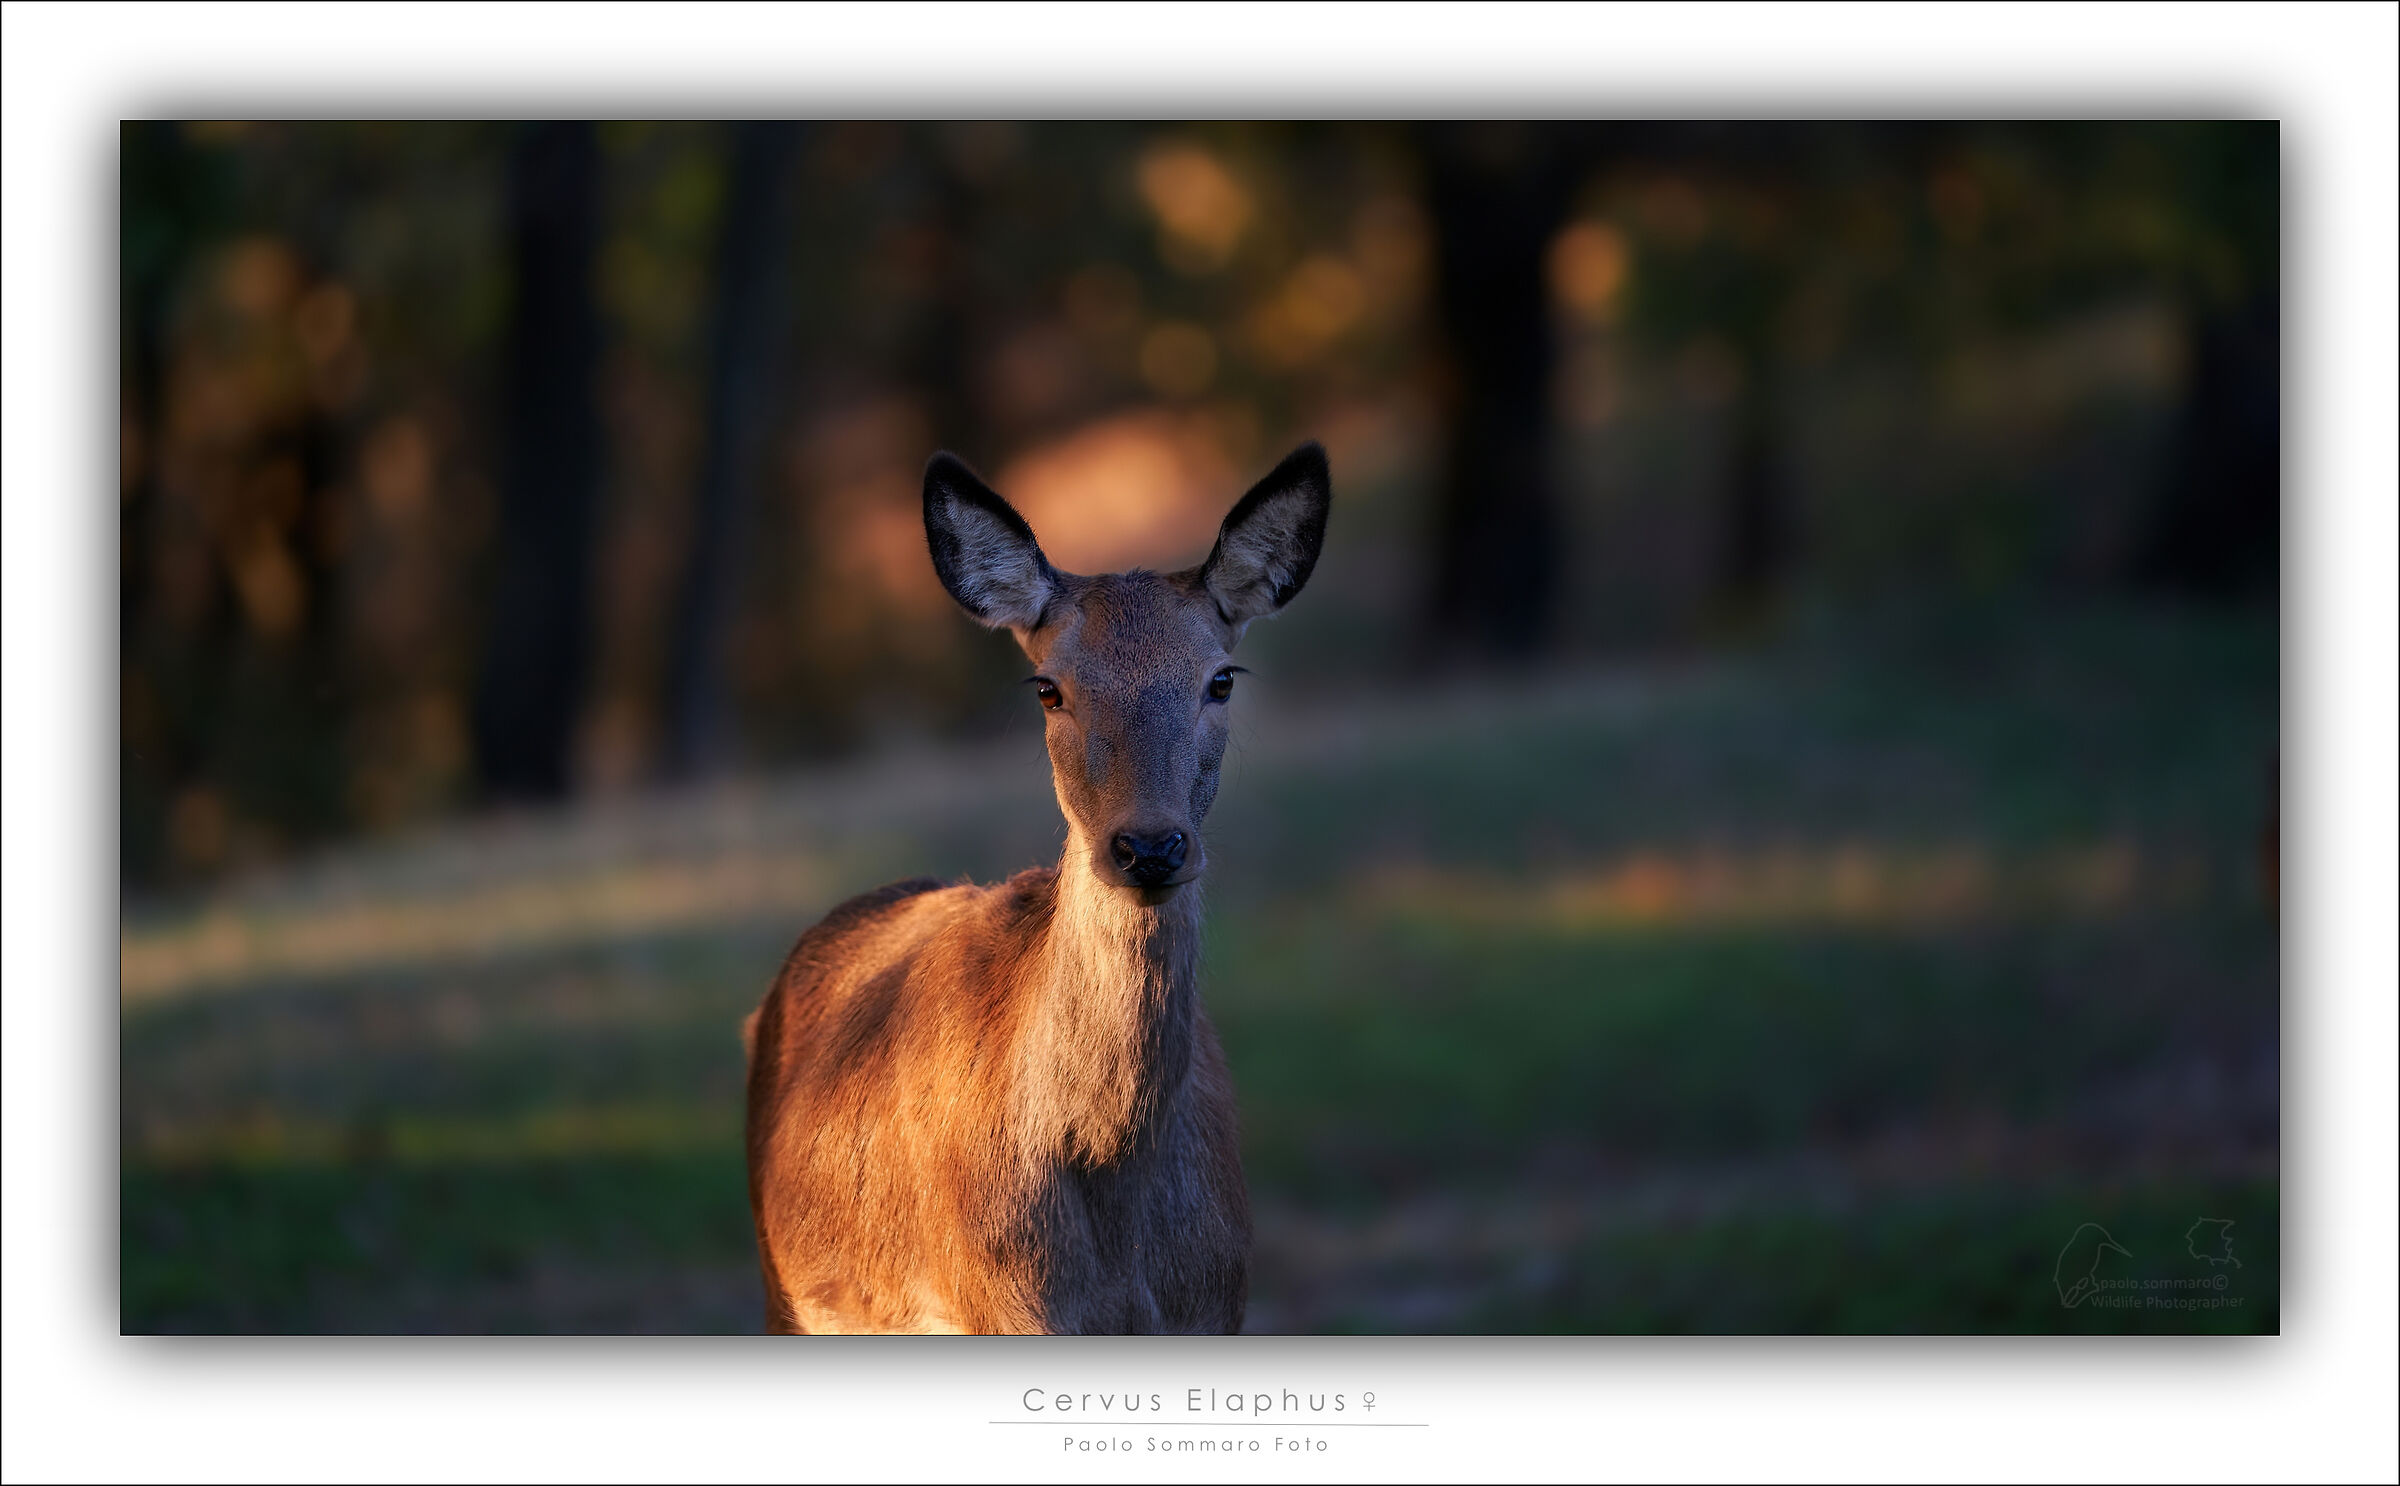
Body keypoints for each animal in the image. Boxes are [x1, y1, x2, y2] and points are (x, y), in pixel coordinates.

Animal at [742, 442, 1332, 1334]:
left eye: (1222, 678)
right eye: (1049, 687)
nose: (1149, 846)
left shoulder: (1218, 1306)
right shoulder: (1002, 1310)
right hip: (785, 1291)